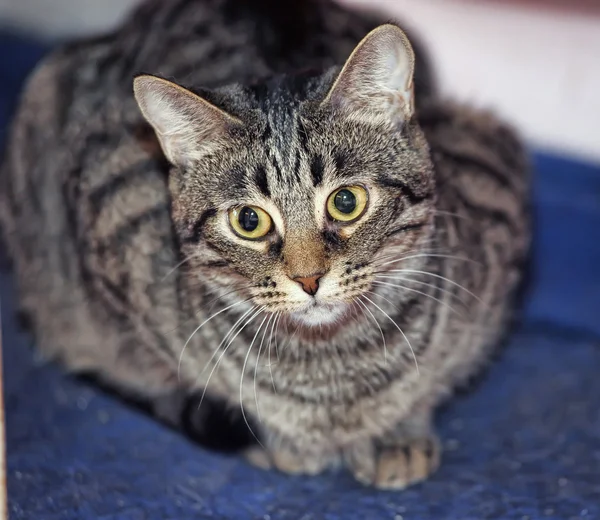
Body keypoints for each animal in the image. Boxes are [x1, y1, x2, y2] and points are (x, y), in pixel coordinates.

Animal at [0, 0, 528, 490]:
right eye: (249, 221)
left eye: (347, 202)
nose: (309, 279)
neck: (332, 368)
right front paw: (286, 443)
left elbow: (426, 383)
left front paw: (397, 433)